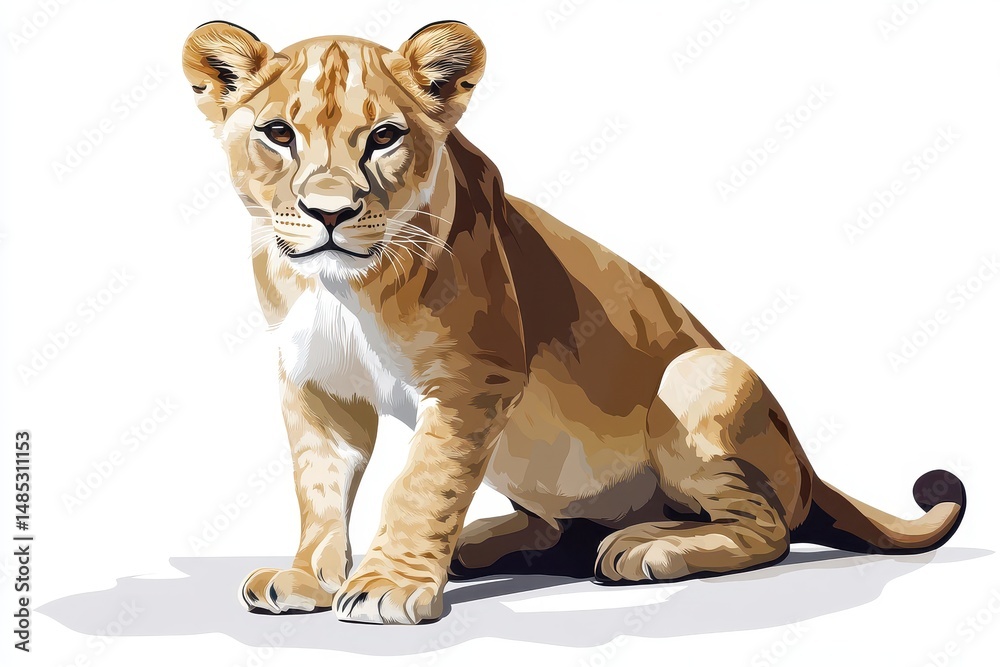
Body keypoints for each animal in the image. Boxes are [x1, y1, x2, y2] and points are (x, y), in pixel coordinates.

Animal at [181, 20, 966, 625]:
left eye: (382, 138)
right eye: (278, 133)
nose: (330, 212)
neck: (338, 288)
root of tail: (806, 460)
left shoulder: (475, 378)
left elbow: (422, 483)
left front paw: (387, 588)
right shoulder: (318, 383)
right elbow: (318, 487)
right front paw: (310, 577)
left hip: (699, 374)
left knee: (768, 527)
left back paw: (648, 547)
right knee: (557, 524)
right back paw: (483, 542)